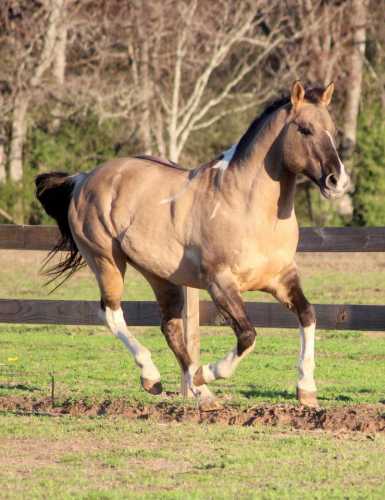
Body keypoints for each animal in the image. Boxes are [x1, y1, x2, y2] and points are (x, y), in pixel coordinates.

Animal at [36, 82, 348, 408]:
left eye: (332, 130)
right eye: (305, 129)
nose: (337, 181)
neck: (247, 207)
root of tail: (84, 179)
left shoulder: (282, 279)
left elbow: (308, 315)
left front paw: (306, 390)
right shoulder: (219, 282)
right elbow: (247, 335)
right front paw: (206, 373)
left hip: (159, 275)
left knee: (170, 327)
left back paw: (203, 394)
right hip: (106, 262)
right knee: (111, 313)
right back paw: (155, 377)